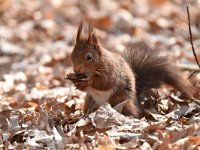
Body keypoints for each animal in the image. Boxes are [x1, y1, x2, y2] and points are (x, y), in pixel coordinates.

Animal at [66, 22, 194, 118]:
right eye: (72, 55)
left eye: (89, 57)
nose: (77, 70)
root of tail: (136, 102)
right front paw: (74, 79)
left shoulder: (111, 71)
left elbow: (105, 83)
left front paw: (88, 81)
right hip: (90, 101)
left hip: (120, 99)